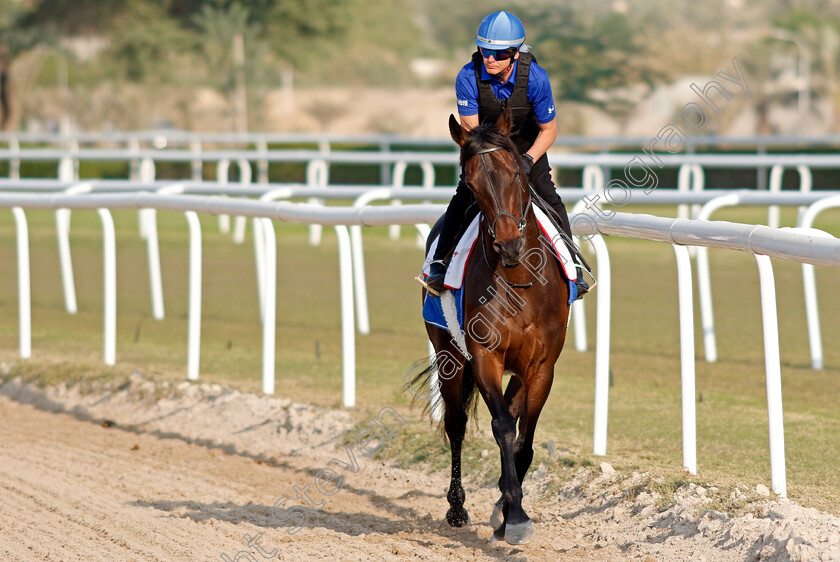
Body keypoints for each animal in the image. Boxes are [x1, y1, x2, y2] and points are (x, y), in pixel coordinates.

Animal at [416, 108, 576, 544]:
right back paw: (457, 507)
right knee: (455, 424)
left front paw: (506, 512)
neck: (520, 279)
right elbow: (502, 426)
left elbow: (525, 438)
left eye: (517, 174)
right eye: (469, 183)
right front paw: (515, 514)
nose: (508, 244)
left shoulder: (542, 366)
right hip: (448, 353)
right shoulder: (485, 356)